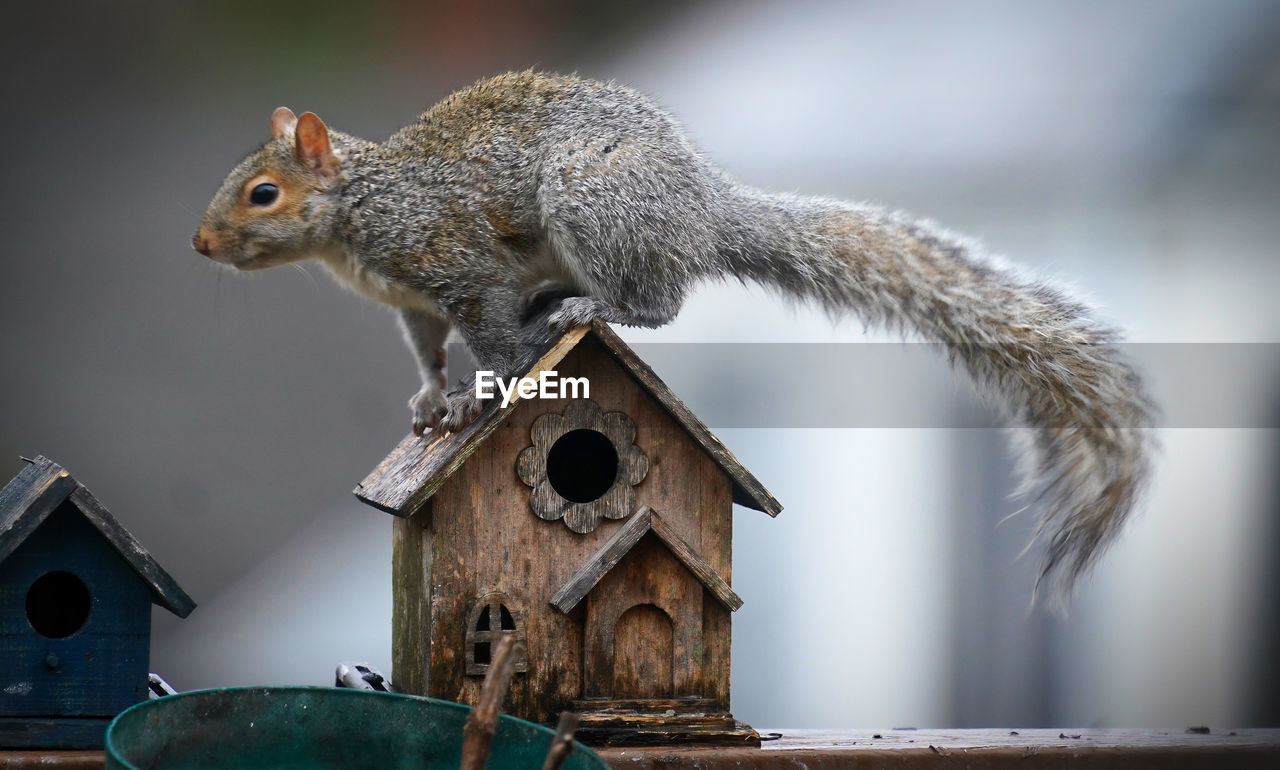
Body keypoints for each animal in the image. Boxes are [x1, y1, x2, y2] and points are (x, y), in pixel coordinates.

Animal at [192, 70, 1162, 598]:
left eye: (263, 195)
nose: (200, 245)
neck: (359, 213)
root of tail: (703, 214)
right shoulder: (414, 302)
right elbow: (426, 350)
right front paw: (431, 400)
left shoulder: (457, 265)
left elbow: (493, 339)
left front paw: (480, 395)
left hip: (595, 206)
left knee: (656, 303)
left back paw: (587, 311)